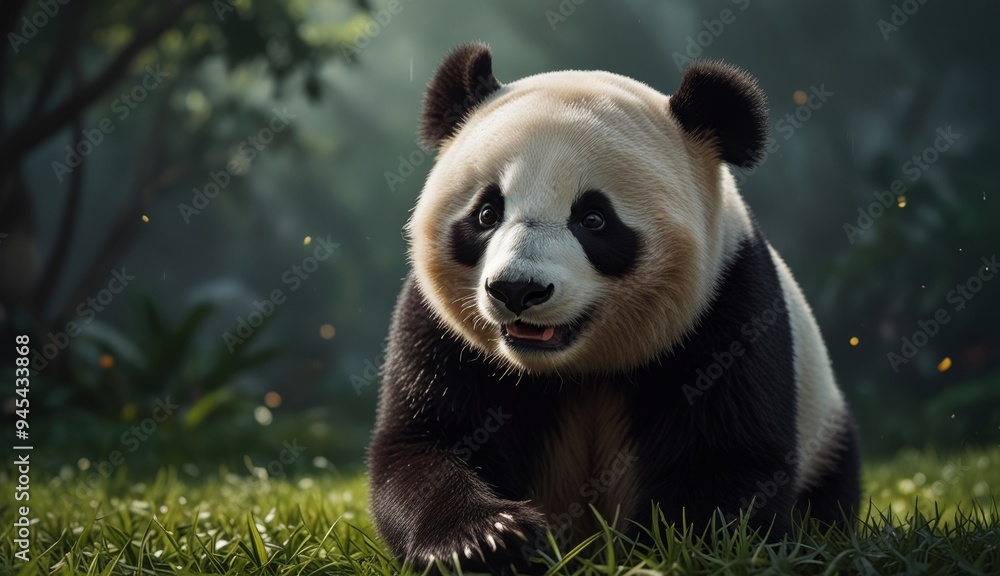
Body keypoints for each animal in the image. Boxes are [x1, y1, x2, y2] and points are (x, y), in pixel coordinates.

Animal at [369, 42, 859, 574]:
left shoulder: (728, 303)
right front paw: (490, 540)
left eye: (593, 218)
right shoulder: (441, 332)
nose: (517, 290)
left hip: (825, 428)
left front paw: (666, 550)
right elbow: (425, 442)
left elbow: (729, 457)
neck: (578, 369)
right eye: (486, 213)